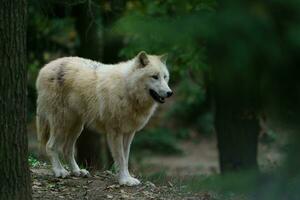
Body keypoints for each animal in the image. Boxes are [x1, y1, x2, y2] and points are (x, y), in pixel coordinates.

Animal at [35, 51, 172, 186]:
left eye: (165, 77)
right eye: (155, 76)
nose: (170, 93)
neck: (127, 89)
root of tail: (45, 68)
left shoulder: (129, 133)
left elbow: (126, 158)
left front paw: (128, 178)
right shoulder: (115, 132)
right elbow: (121, 159)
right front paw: (124, 180)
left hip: (76, 127)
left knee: (66, 149)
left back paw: (77, 171)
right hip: (62, 124)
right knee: (50, 146)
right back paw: (59, 171)